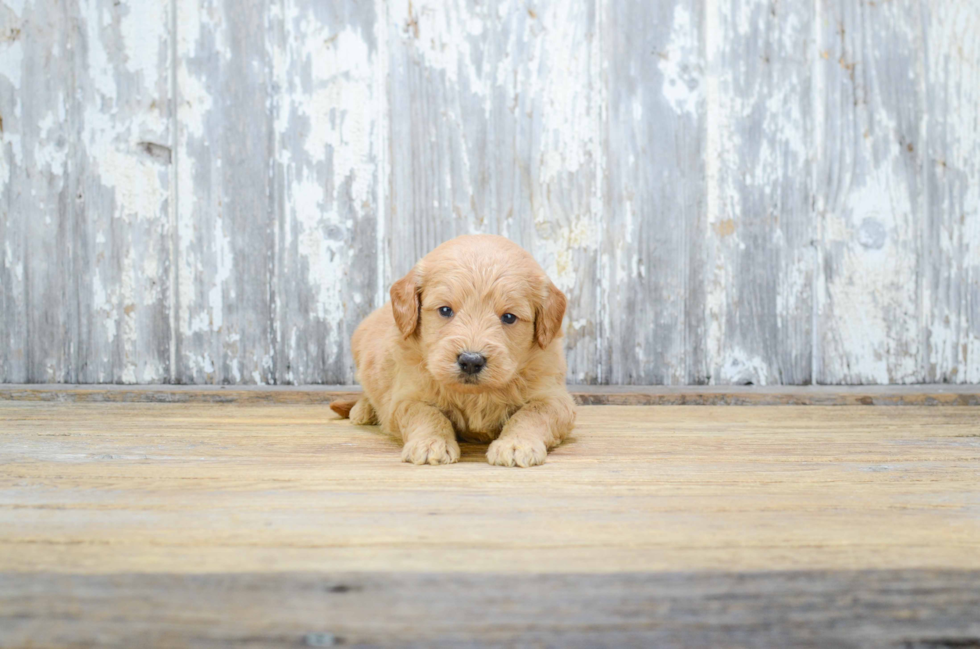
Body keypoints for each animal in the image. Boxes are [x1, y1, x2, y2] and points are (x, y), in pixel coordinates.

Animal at [332, 233, 576, 466]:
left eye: (509, 317)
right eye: (445, 310)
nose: (471, 361)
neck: (475, 395)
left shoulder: (555, 397)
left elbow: (532, 414)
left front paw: (516, 444)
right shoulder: (406, 396)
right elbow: (426, 413)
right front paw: (431, 443)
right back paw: (362, 410)